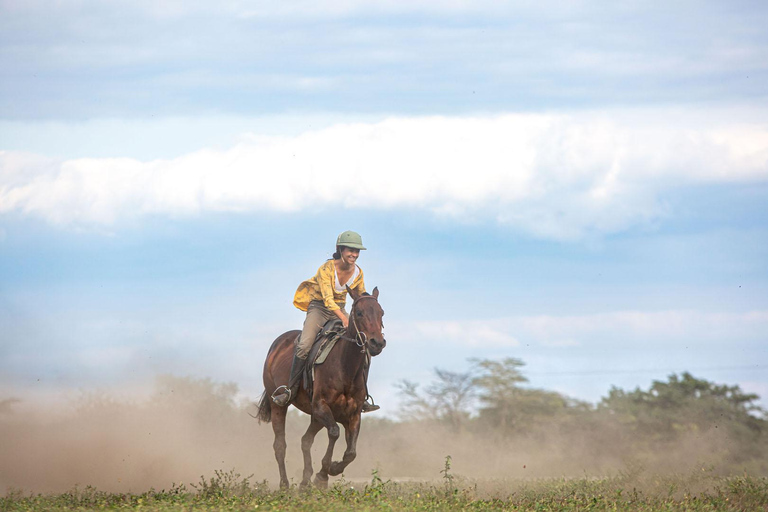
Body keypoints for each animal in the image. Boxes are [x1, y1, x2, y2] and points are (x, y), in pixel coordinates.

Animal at [256, 284, 388, 488]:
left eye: (381, 313)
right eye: (359, 312)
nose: (377, 343)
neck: (345, 367)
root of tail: (277, 345)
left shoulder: (353, 414)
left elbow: (351, 452)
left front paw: (328, 471)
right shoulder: (321, 407)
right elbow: (334, 433)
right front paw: (323, 474)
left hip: (315, 418)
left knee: (305, 440)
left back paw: (304, 483)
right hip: (279, 406)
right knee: (280, 445)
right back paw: (285, 485)